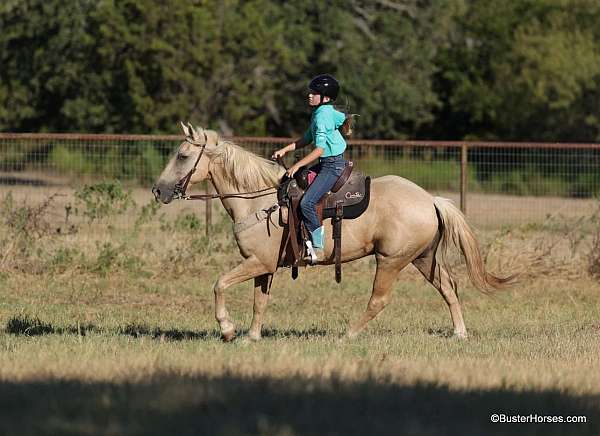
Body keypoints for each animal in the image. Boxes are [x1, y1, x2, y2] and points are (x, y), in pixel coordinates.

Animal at [154, 122, 510, 340]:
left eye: (182, 155)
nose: (159, 190)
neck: (260, 201)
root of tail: (430, 199)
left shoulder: (257, 262)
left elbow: (220, 284)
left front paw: (227, 330)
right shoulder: (265, 266)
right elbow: (259, 302)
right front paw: (251, 337)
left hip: (391, 260)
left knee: (379, 300)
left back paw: (348, 334)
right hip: (422, 258)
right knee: (448, 287)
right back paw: (459, 333)